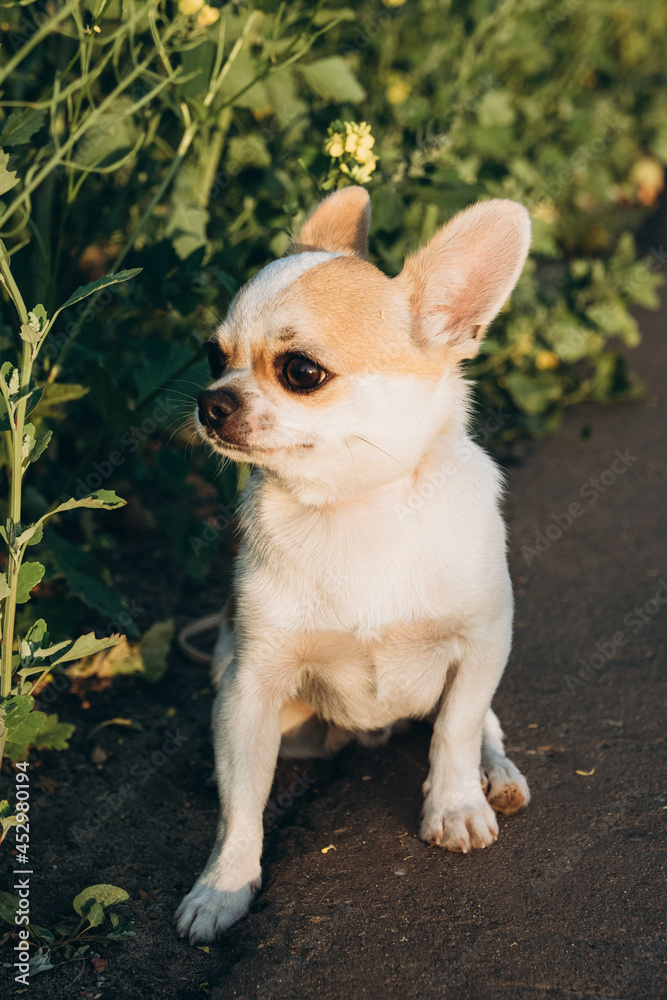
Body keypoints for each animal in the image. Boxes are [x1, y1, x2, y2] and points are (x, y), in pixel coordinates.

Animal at [176, 188, 532, 944]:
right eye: (212, 355)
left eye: (301, 372)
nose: (210, 400)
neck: (354, 509)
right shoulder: (249, 691)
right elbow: (241, 805)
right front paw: (224, 885)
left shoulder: (483, 641)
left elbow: (457, 729)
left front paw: (454, 805)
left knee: (480, 723)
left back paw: (496, 774)